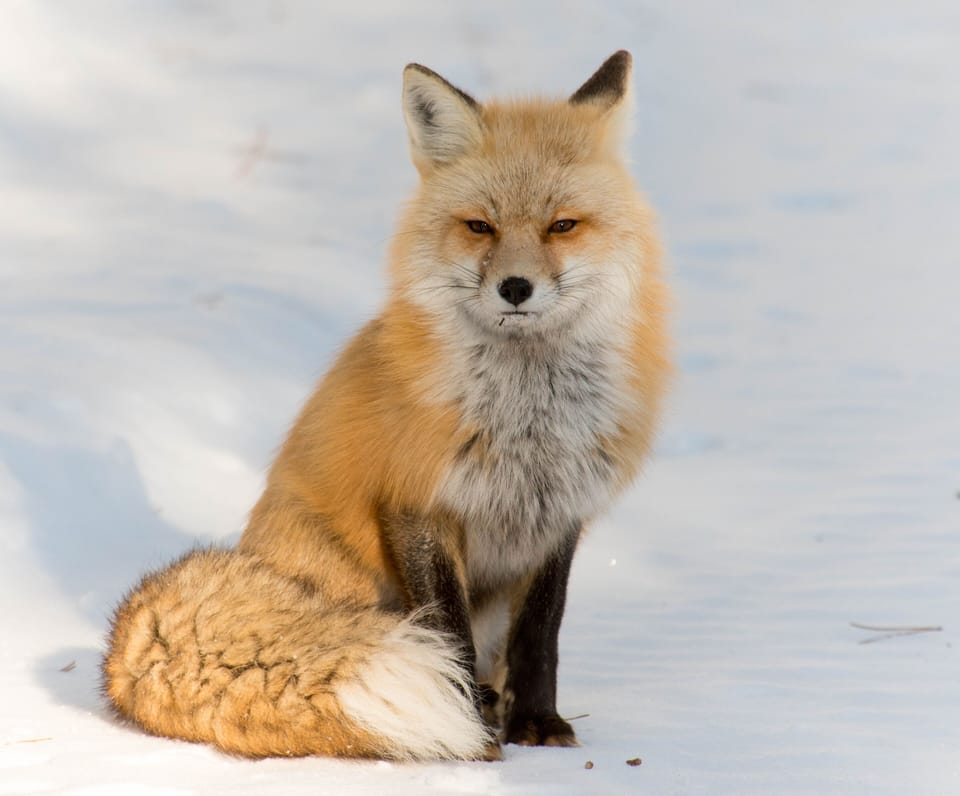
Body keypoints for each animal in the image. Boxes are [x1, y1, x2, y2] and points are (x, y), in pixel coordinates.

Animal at [102, 50, 670, 762]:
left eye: (562, 225)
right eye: (480, 226)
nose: (516, 287)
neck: (527, 420)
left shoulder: (560, 512)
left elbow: (541, 634)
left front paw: (537, 723)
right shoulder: (416, 501)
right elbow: (447, 630)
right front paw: (475, 733)